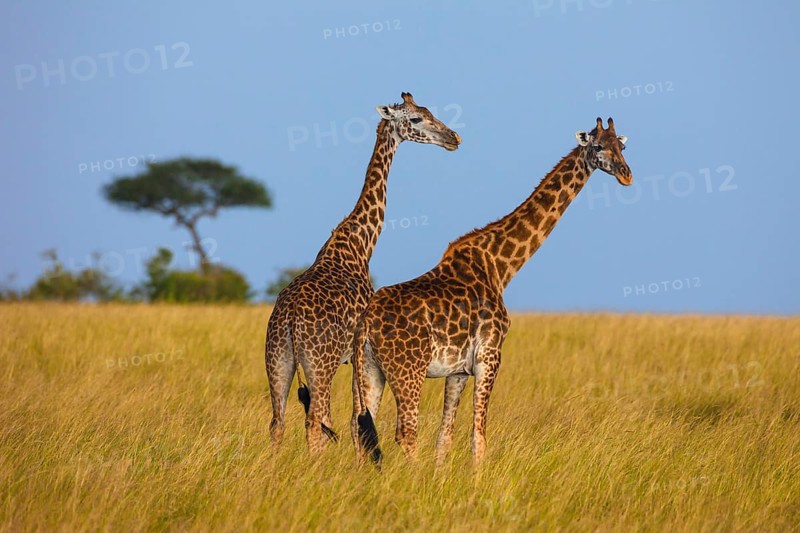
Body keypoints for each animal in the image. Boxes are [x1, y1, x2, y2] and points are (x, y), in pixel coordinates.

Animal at [265, 92, 461, 453]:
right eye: (416, 118)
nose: (453, 138)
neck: (360, 243)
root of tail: (291, 321)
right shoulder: (357, 355)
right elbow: (357, 421)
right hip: (319, 362)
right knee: (314, 422)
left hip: (278, 359)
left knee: (278, 422)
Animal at [353, 117, 632, 465]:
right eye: (598, 146)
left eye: (622, 146)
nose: (626, 174)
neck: (500, 266)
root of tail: (366, 323)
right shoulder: (489, 356)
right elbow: (478, 438)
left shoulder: (458, 370)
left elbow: (445, 438)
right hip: (408, 370)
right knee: (405, 433)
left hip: (369, 370)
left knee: (362, 430)